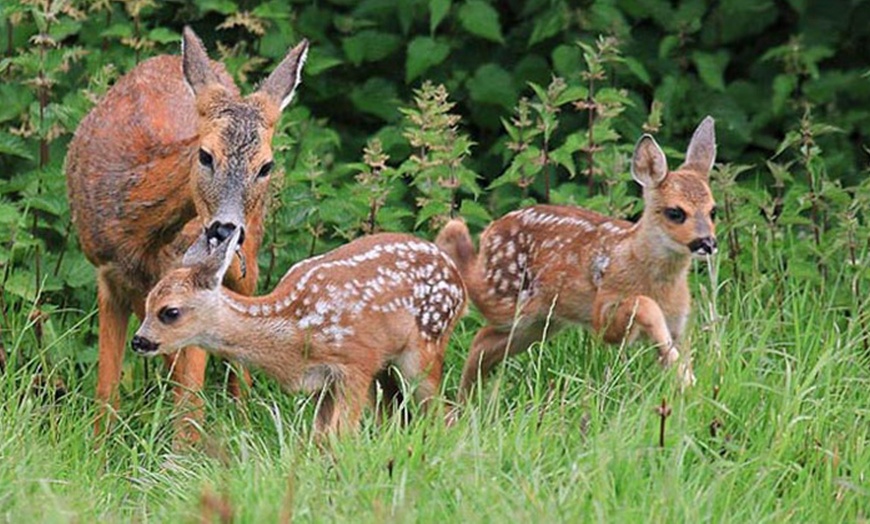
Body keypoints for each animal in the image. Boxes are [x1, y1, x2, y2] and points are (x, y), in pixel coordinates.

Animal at [66, 26, 310, 440]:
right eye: (205, 155)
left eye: (266, 166)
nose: (226, 229)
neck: (141, 239)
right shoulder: (106, 274)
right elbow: (106, 392)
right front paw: (98, 451)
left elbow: (190, 399)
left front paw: (183, 455)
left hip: (250, 258)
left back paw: (243, 420)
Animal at [440, 116, 720, 400]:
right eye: (675, 212)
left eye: (713, 211)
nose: (707, 242)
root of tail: (490, 231)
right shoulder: (603, 312)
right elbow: (643, 305)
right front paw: (684, 373)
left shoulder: (679, 325)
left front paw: (688, 383)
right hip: (507, 300)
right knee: (477, 317)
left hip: (539, 323)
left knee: (484, 342)